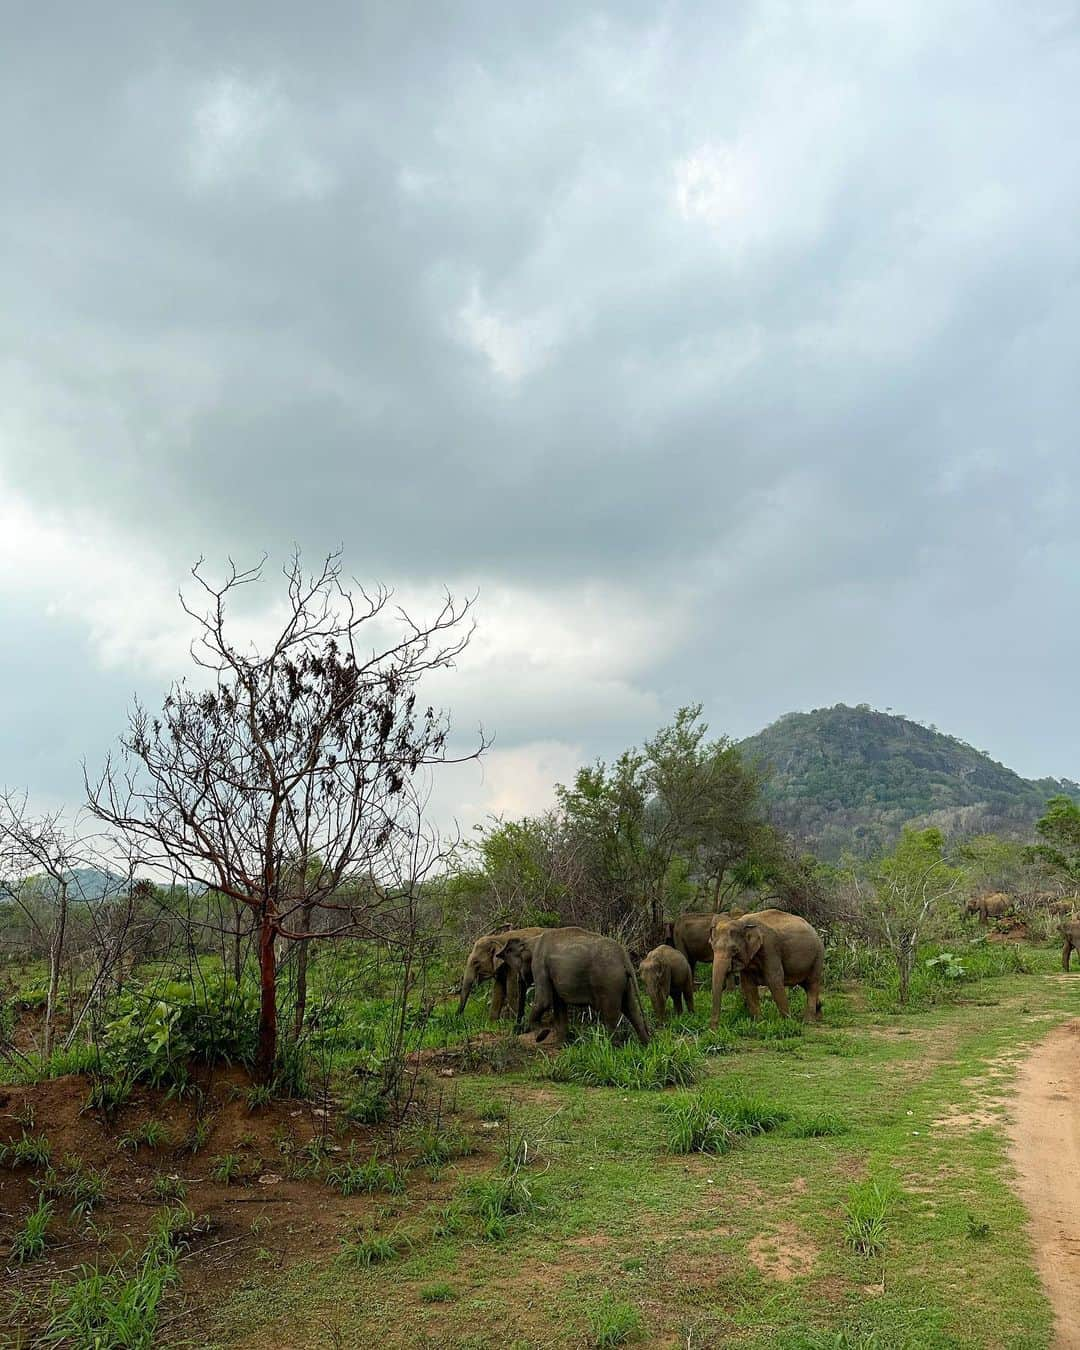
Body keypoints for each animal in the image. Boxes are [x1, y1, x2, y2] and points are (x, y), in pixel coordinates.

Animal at [496, 923, 650, 1047]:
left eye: (518, 969)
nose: (517, 1030)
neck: (531, 940)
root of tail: (625, 959)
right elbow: (558, 1004)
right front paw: (560, 1045)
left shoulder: (539, 964)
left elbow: (544, 1000)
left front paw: (542, 1034)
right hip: (624, 983)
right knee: (632, 1010)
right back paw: (645, 1046)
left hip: (609, 982)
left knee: (611, 1016)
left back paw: (615, 1048)